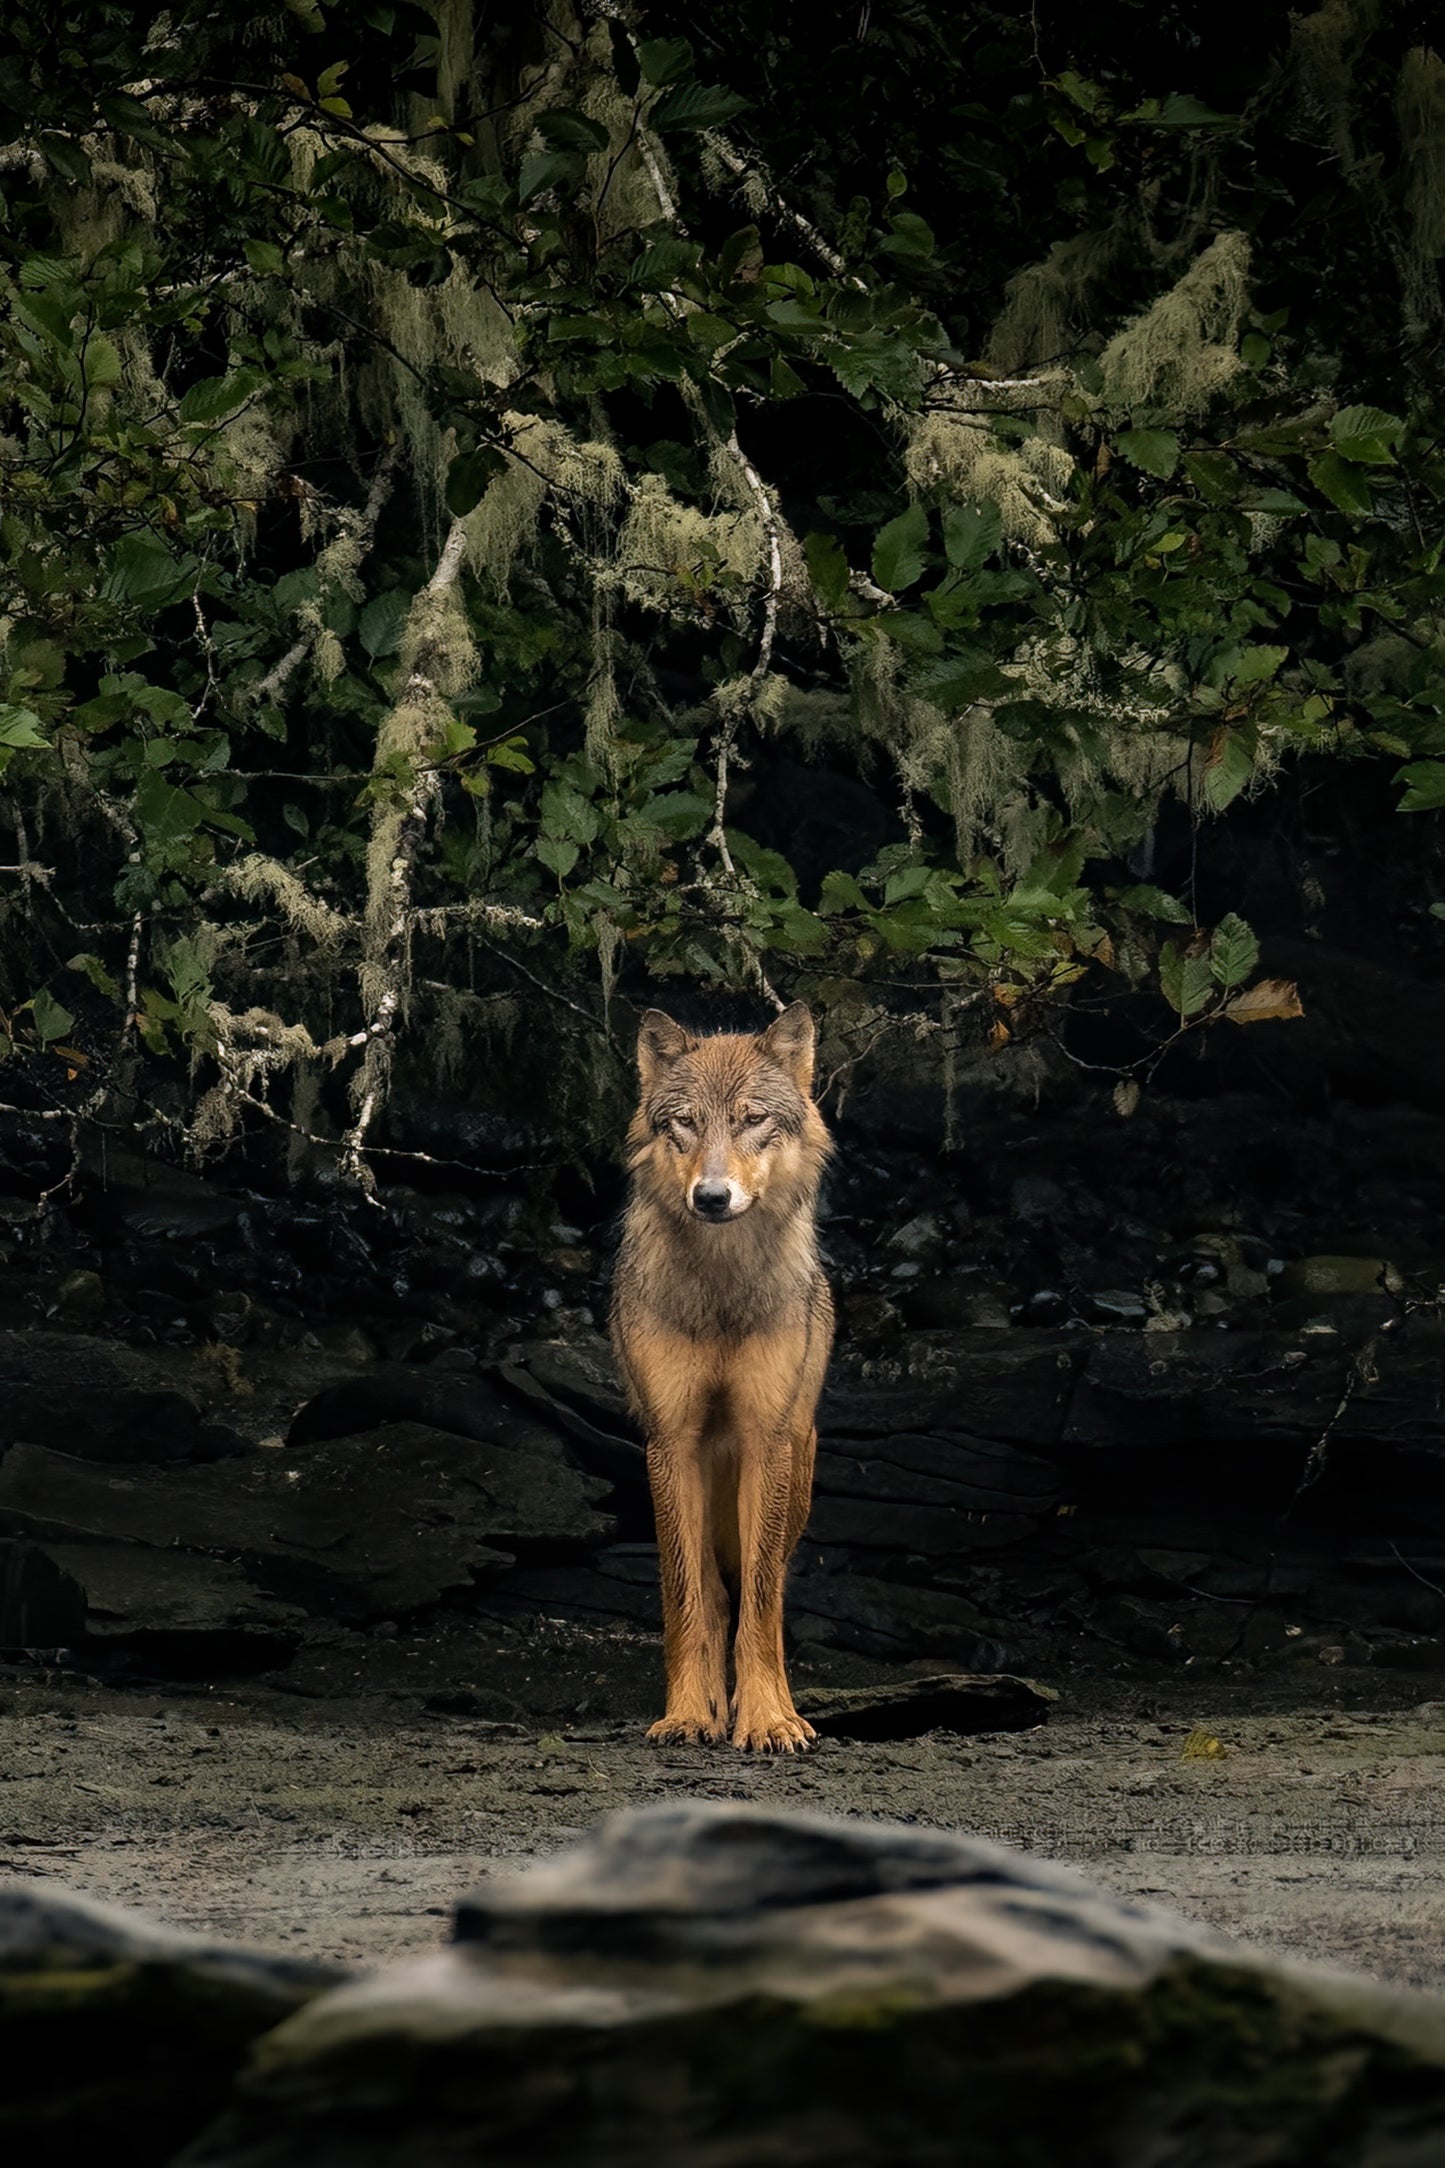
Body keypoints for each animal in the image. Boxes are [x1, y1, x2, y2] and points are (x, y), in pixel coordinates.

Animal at [611, 1003, 834, 1752]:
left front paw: (766, 1718)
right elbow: (686, 1597)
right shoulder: (670, 1441)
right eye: (684, 1122)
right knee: (710, 1592)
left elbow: (760, 1603)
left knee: (770, 1586)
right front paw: (687, 1713)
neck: (720, 1291)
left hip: (796, 1470)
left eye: (751, 1119)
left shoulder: (767, 1438)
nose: (711, 1197)